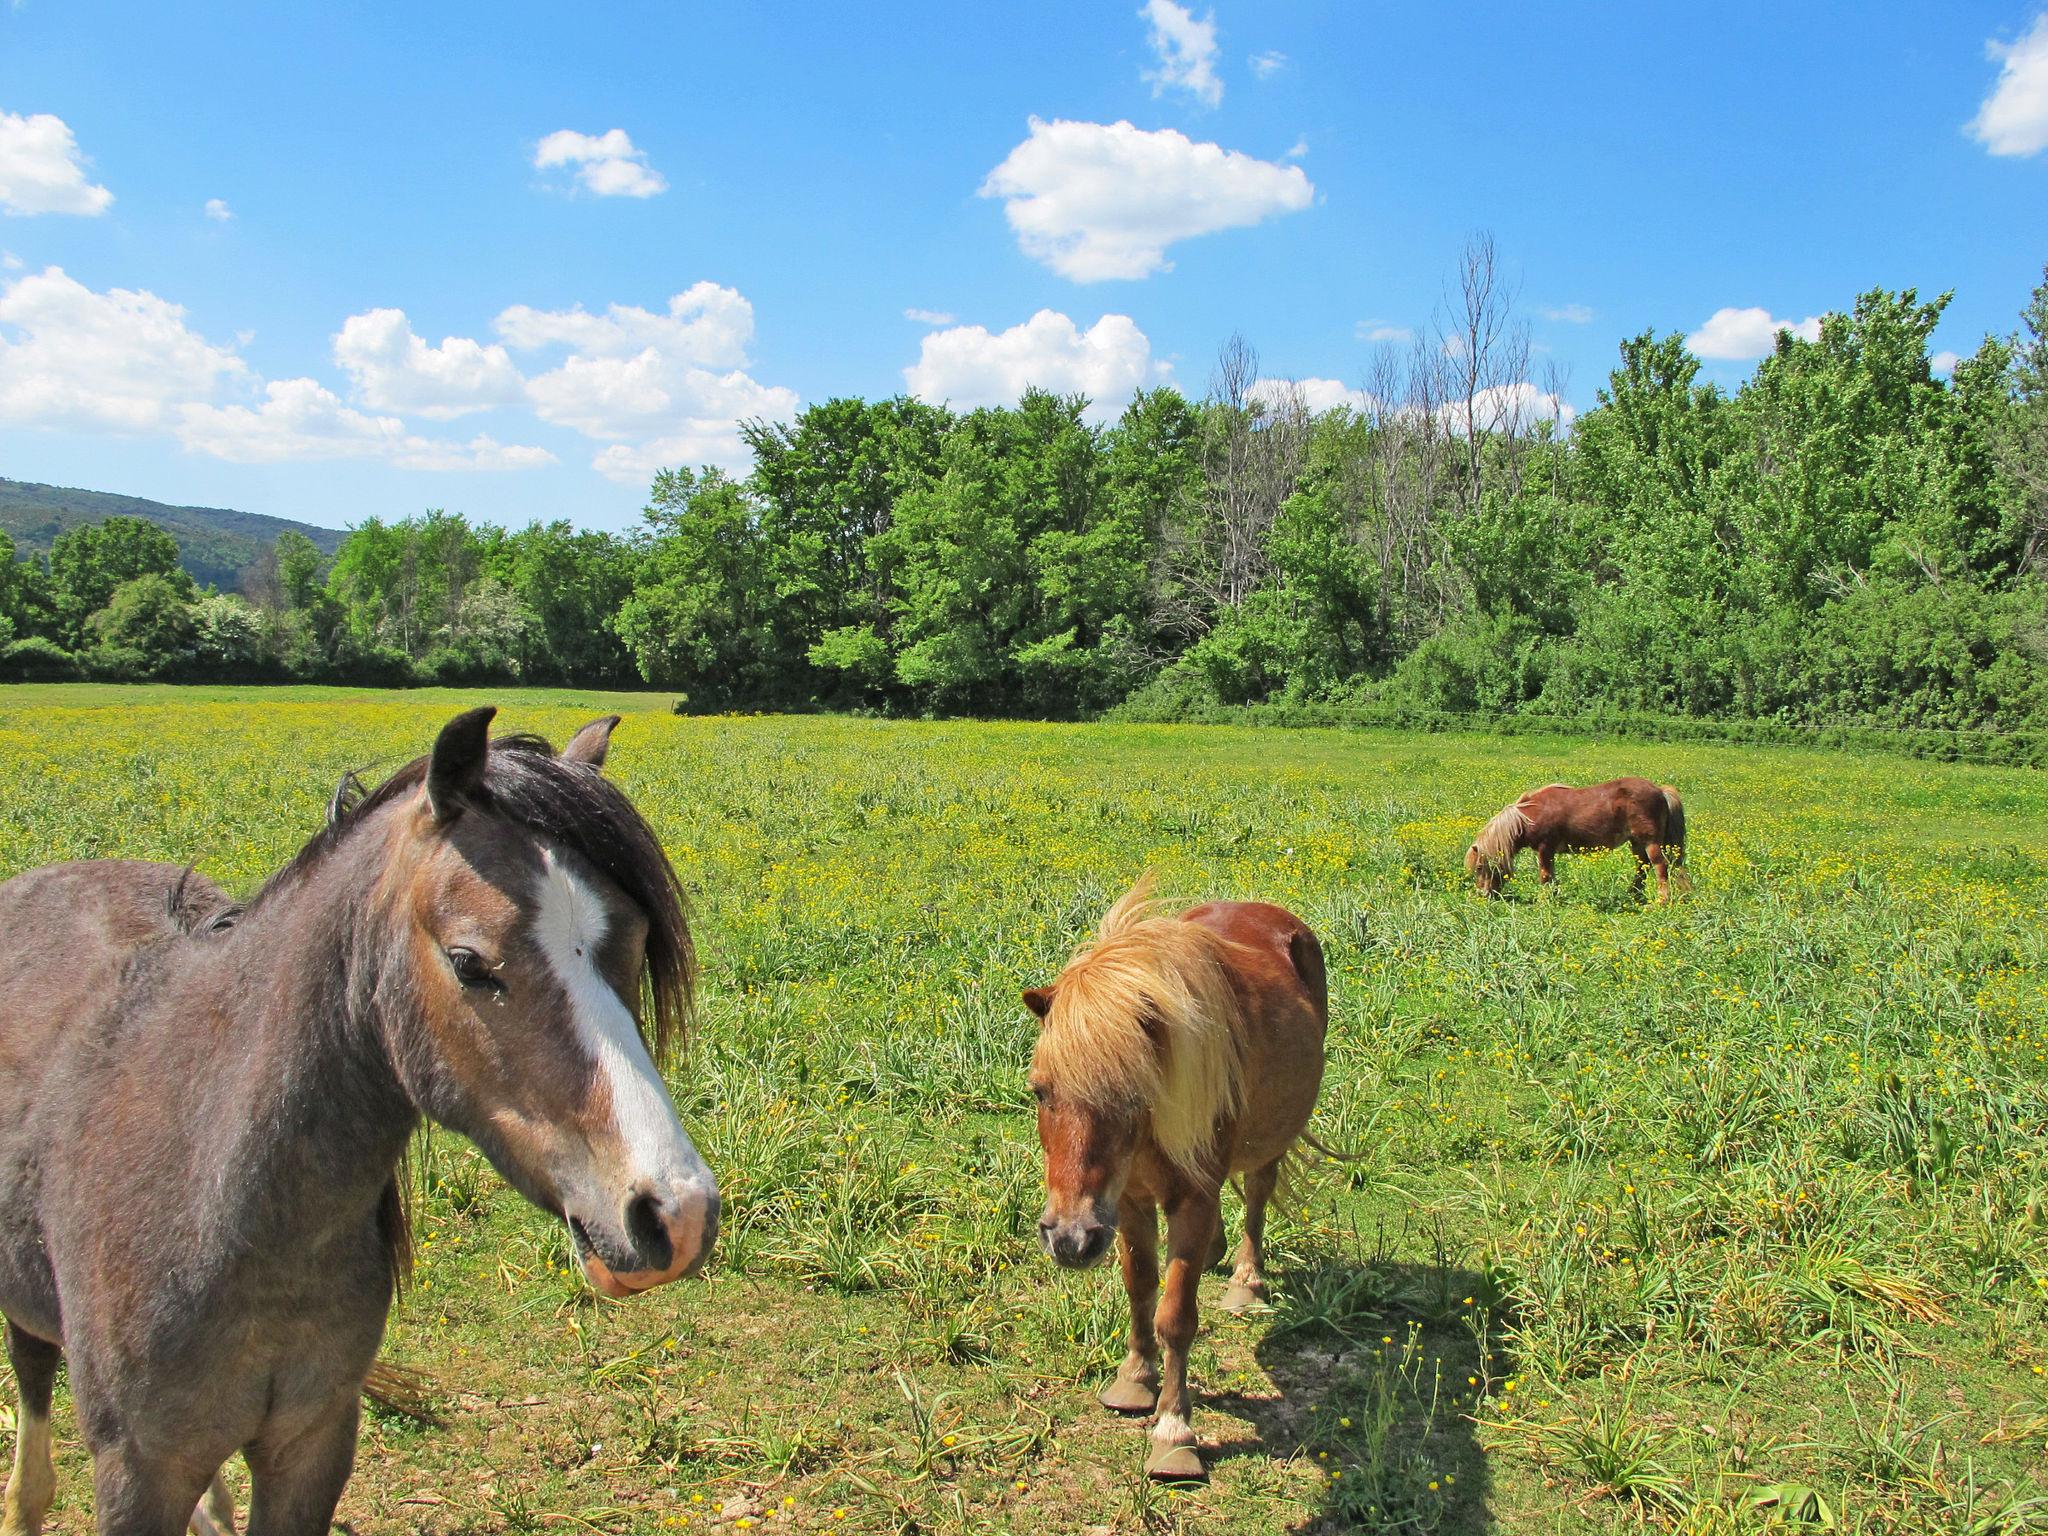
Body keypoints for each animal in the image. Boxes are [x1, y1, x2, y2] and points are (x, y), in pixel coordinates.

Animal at [1019, 884, 1327, 1482]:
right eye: (1042, 1091)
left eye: (1131, 1093)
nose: (1068, 1240)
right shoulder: (1128, 1203)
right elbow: (1140, 1286)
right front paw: (1135, 1378)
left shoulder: (1191, 1197)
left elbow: (1176, 1316)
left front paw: (1173, 1432)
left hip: (1270, 1139)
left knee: (1257, 1195)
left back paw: (1246, 1281)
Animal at [1474, 782, 1695, 901]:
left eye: (1479, 868)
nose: (1483, 894)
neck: (1528, 815)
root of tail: (1660, 791)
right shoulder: (1549, 851)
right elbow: (1551, 875)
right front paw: (1554, 895)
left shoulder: (1545, 848)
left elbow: (1545, 875)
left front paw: (1544, 899)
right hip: (1637, 843)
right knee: (1643, 867)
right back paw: (1633, 895)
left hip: (1650, 842)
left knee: (1660, 866)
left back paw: (1661, 900)